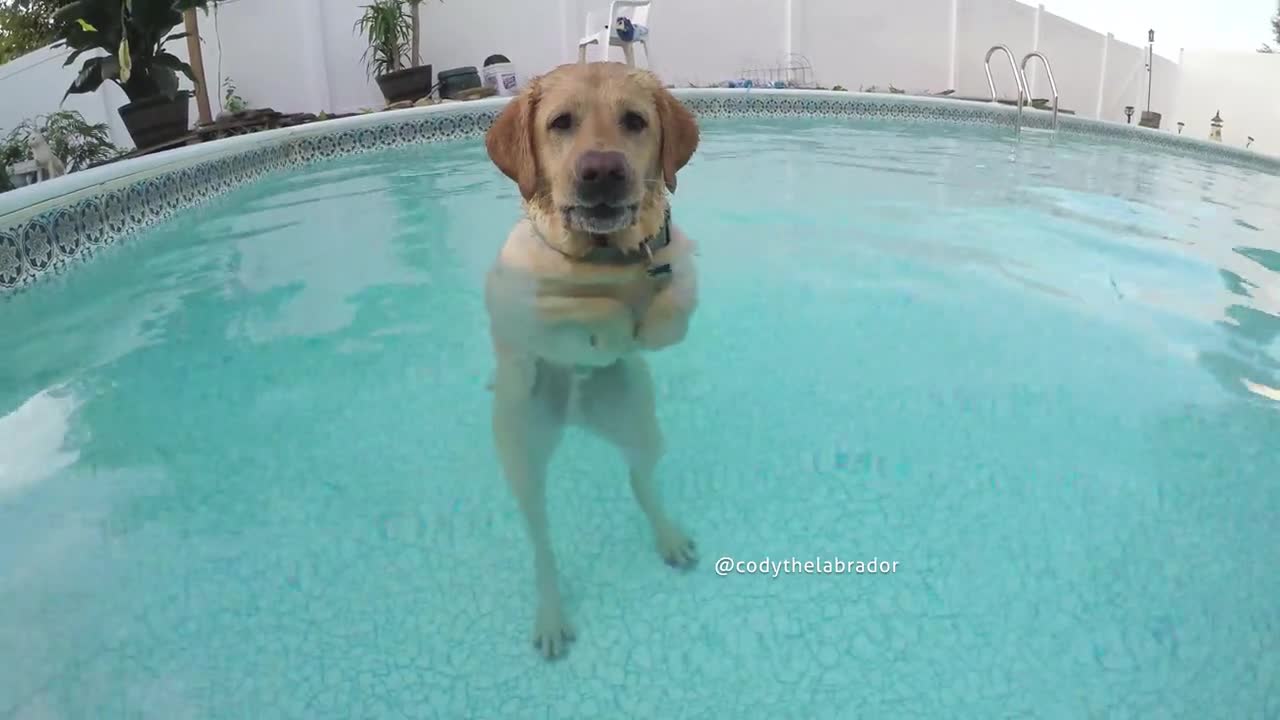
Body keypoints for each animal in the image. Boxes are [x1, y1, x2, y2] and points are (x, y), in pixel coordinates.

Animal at [483, 63, 701, 655]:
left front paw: (644, 323)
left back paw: (668, 536)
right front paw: (614, 324)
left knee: (640, 479)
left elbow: (672, 299)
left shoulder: (680, 264)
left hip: (640, 424)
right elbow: (593, 306)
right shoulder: (516, 305)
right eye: (561, 123)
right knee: (541, 542)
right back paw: (551, 615)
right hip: (524, 457)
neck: (603, 256)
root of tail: (577, 417)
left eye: (635, 121)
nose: (602, 170)